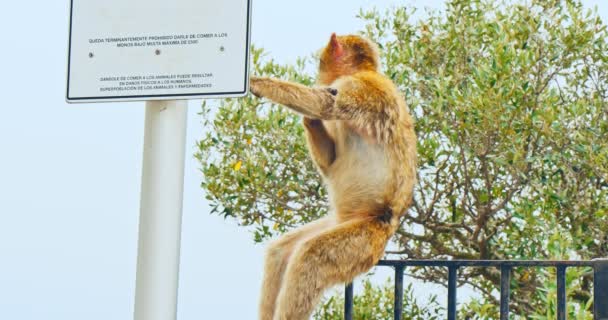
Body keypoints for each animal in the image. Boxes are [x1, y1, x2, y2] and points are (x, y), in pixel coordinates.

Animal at [249, 33, 416, 320]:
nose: (320, 74)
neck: (363, 71)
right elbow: (330, 158)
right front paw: (309, 120)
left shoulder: (360, 87)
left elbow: (328, 104)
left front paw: (255, 83)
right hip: (340, 224)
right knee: (282, 252)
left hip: (362, 240)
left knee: (310, 258)